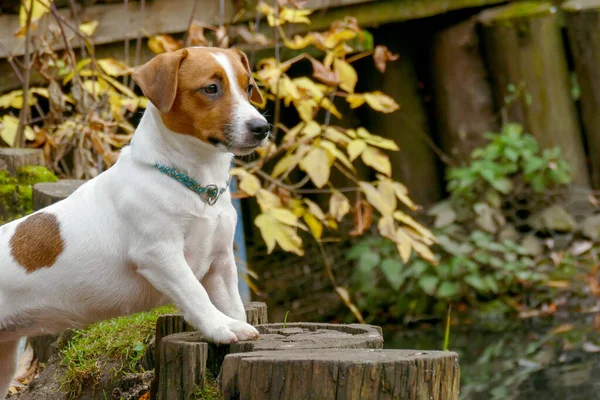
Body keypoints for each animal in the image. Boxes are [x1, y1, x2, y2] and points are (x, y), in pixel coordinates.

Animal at [0, 47, 268, 396]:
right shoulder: (160, 256)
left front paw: (236, 322)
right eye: (211, 88)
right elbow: (194, 293)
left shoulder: (221, 262)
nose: (262, 127)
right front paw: (220, 326)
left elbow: (233, 302)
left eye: (248, 88)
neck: (194, 184)